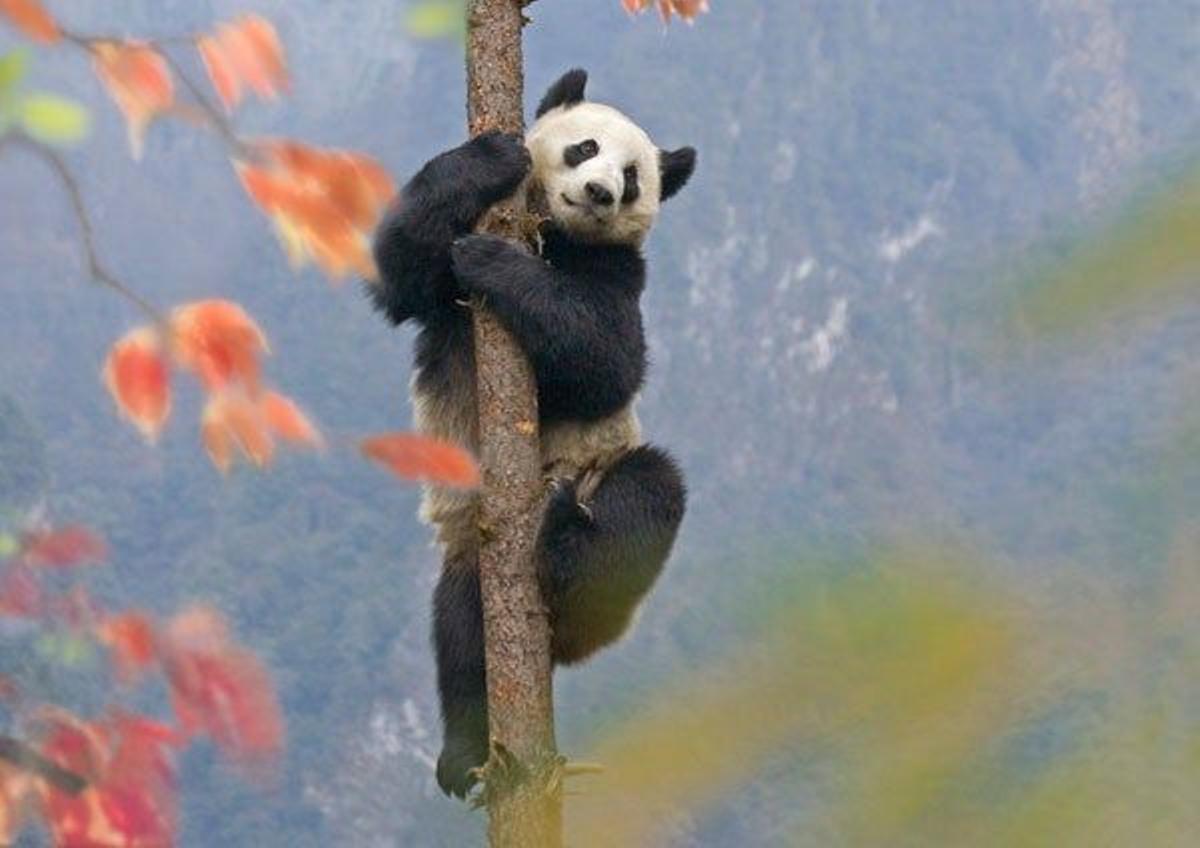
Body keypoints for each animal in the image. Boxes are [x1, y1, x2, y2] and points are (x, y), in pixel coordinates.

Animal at [372, 69, 696, 801]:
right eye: (585, 148)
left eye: (631, 178)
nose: (599, 193)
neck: (557, 233)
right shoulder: (433, 294)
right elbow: (397, 271)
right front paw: (489, 158)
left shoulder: (619, 273)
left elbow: (608, 361)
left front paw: (491, 259)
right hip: (474, 553)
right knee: (461, 635)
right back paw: (466, 754)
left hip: (603, 472)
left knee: (648, 496)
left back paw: (565, 547)